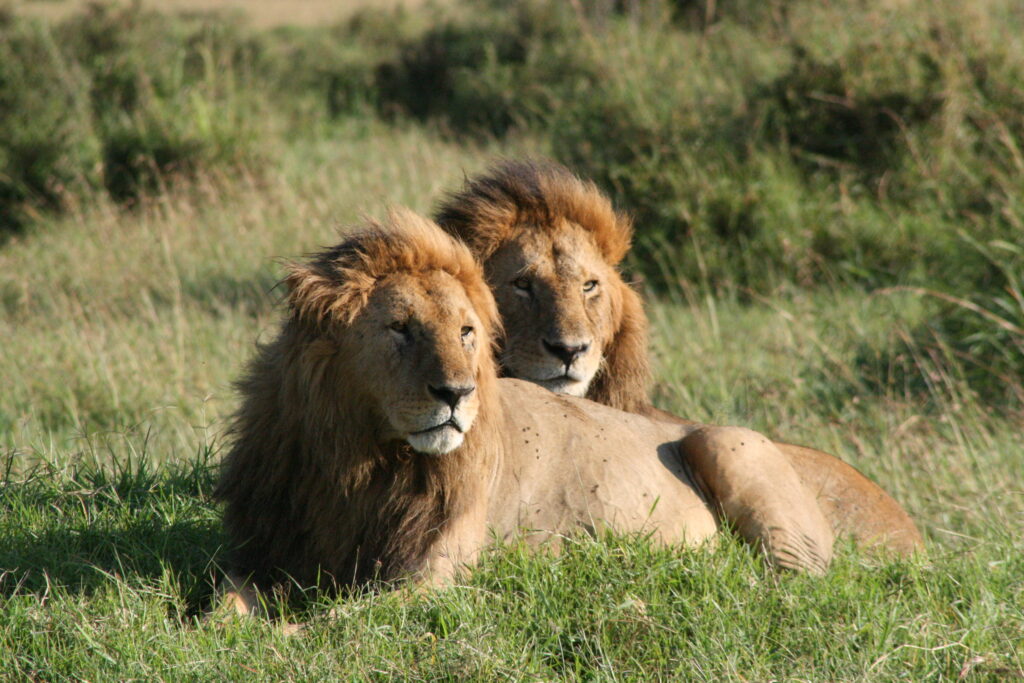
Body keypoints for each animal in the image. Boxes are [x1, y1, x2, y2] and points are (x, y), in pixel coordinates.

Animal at [220, 210, 884, 606]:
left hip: (729, 444)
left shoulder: (431, 576)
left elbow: (329, 623)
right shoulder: (264, 553)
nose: (456, 395)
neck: (360, 460)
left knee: (790, 583)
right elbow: (225, 607)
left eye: (465, 332)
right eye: (401, 328)